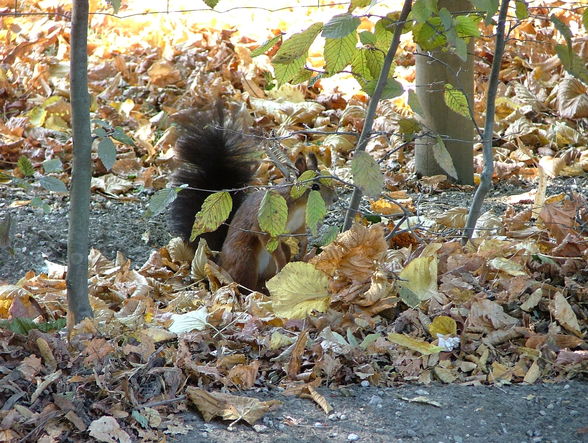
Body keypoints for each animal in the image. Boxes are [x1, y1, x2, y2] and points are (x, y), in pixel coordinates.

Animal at [170, 102, 336, 294]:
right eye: (315, 187)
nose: (335, 198)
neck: (300, 206)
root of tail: (220, 263)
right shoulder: (264, 224)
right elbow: (266, 238)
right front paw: (282, 263)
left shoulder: (297, 225)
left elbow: (300, 236)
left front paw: (302, 249)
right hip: (245, 259)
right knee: (243, 283)